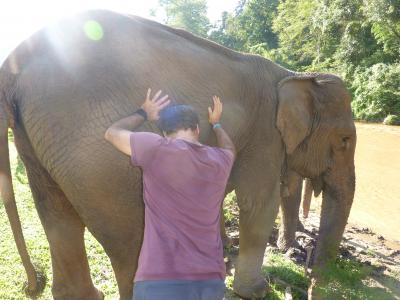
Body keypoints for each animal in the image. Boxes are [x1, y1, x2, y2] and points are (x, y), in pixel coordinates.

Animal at [0, 9, 356, 300]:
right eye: (344, 140)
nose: (313, 276)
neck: (293, 74)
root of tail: (15, 61)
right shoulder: (264, 135)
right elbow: (258, 202)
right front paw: (257, 291)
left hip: (42, 143)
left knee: (57, 215)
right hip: (97, 160)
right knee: (129, 237)